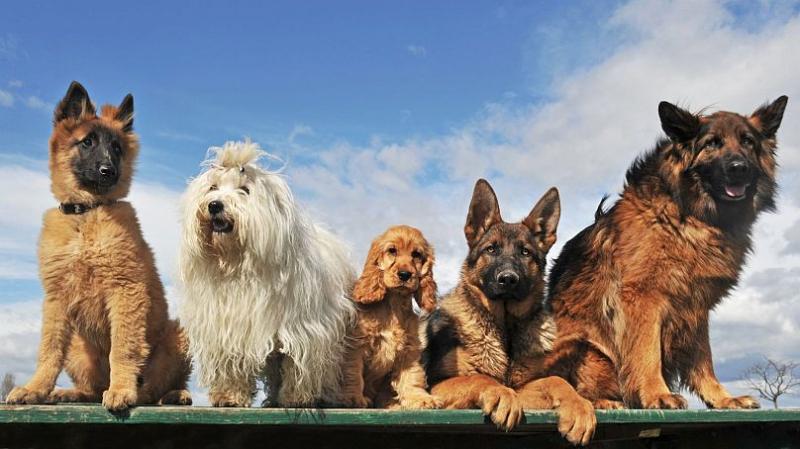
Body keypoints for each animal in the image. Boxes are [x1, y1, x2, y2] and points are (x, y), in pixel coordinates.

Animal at [5, 80, 192, 410]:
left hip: (175, 337)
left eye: (117, 148)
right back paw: (71, 393)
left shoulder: (126, 290)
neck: (86, 214)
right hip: (78, 347)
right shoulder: (56, 300)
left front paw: (122, 390)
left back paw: (168, 394)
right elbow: (49, 350)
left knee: (156, 386)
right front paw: (35, 389)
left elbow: (123, 348)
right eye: (87, 142)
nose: (109, 171)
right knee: (92, 388)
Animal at [181, 140, 356, 406]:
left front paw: (295, 398)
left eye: (244, 190)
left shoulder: (302, 330)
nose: (215, 205)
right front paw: (229, 396)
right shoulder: (227, 328)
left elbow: (296, 364)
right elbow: (231, 363)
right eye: (213, 187)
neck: (238, 262)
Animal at [336, 226, 440, 408]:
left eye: (416, 254)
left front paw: (419, 398)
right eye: (392, 250)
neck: (394, 304)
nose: (405, 274)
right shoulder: (356, 345)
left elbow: (412, 376)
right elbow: (353, 372)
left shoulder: (408, 349)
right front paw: (353, 398)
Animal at [422, 178, 596, 444]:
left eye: (525, 252)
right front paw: (500, 393)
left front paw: (579, 406)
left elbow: (556, 380)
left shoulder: (523, 389)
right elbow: (479, 377)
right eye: (491, 250)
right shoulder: (437, 386)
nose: (508, 279)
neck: (505, 330)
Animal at [544, 95, 788, 410]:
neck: (689, 216)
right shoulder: (644, 297)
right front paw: (656, 394)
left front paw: (721, 398)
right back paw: (605, 401)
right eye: (712, 143)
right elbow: (647, 353)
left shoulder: (696, 306)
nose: (738, 167)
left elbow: (704, 360)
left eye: (748, 142)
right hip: (583, 348)